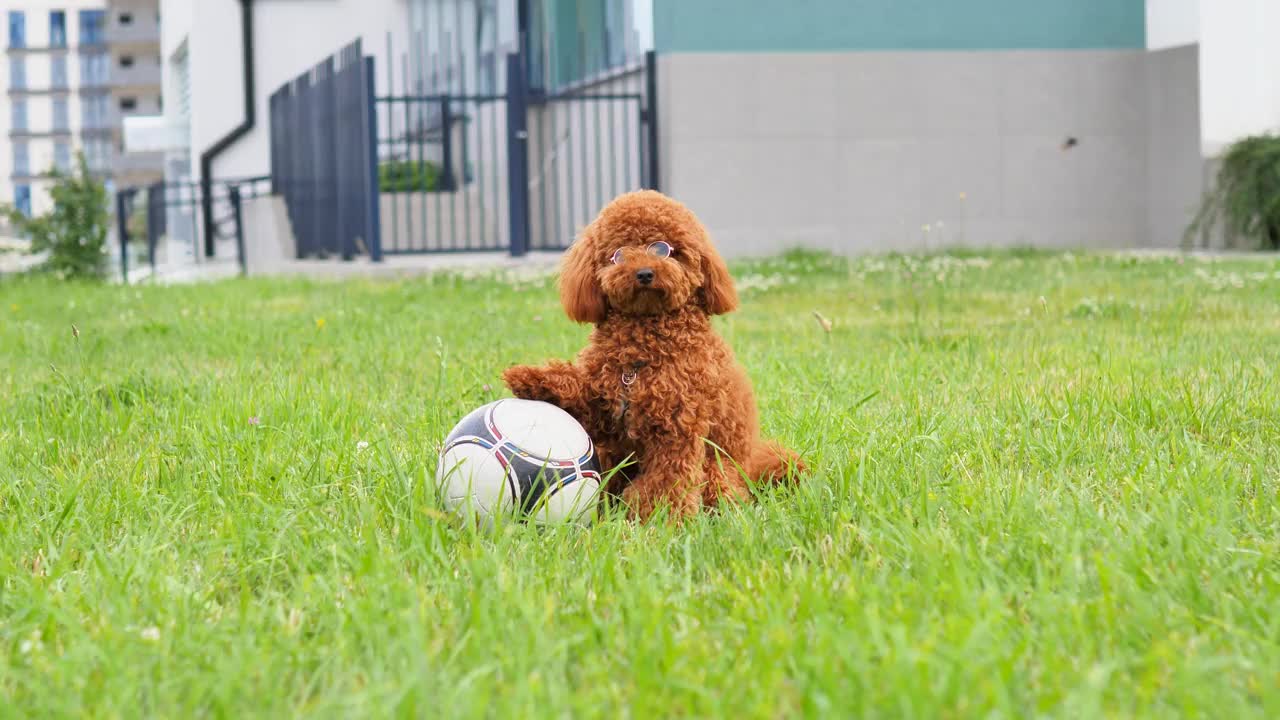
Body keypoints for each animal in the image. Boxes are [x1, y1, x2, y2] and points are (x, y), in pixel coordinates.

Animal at [504, 188, 803, 517]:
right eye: (619, 253)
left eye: (664, 250)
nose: (645, 273)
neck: (639, 353)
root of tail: (751, 464)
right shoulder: (605, 412)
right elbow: (579, 391)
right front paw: (533, 379)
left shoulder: (677, 427)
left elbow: (666, 482)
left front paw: (658, 519)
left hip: (719, 469)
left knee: (721, 489)